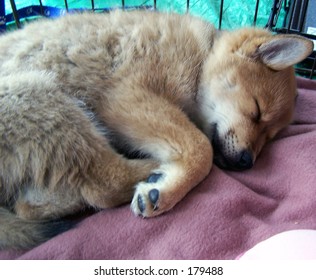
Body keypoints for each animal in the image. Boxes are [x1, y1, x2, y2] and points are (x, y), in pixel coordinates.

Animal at [0, 9, 314, 249]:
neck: (201, 54)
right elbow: (201, 148)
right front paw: (167, 186)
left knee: (31, 205)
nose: (246, 163)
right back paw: (151, 170)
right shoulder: (129, 98)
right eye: (257, 111)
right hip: (41, 94)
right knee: (103, 185)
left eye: (269, 137)